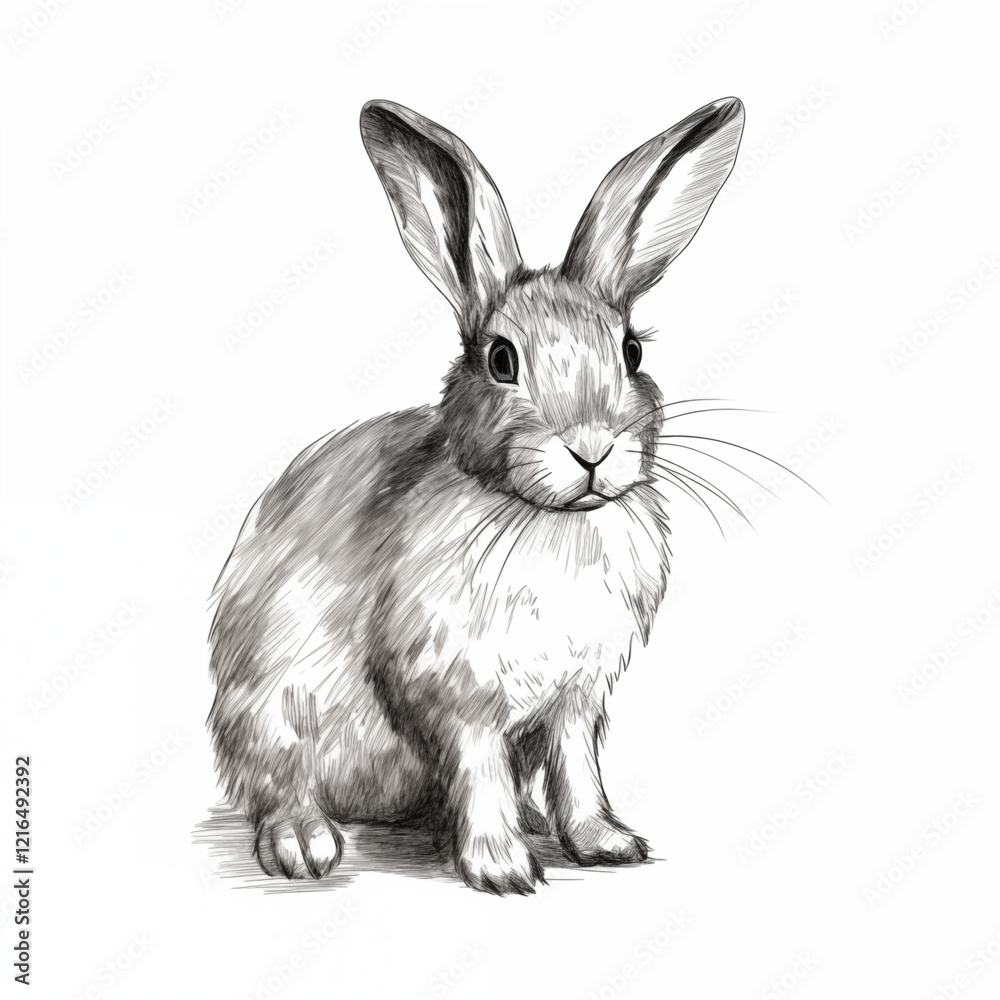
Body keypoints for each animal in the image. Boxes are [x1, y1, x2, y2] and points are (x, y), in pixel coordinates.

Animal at [208, 96, 745, 894]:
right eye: (500, 359)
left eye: (631, 351)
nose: (592, 449)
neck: (546, 517)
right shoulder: (457, 694)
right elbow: (480, 767)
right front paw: (501, 868)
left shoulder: (576, 701)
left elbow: (578, 769)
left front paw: (606, 842)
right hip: (273, 706)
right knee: (278, 782)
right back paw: (305, 843)